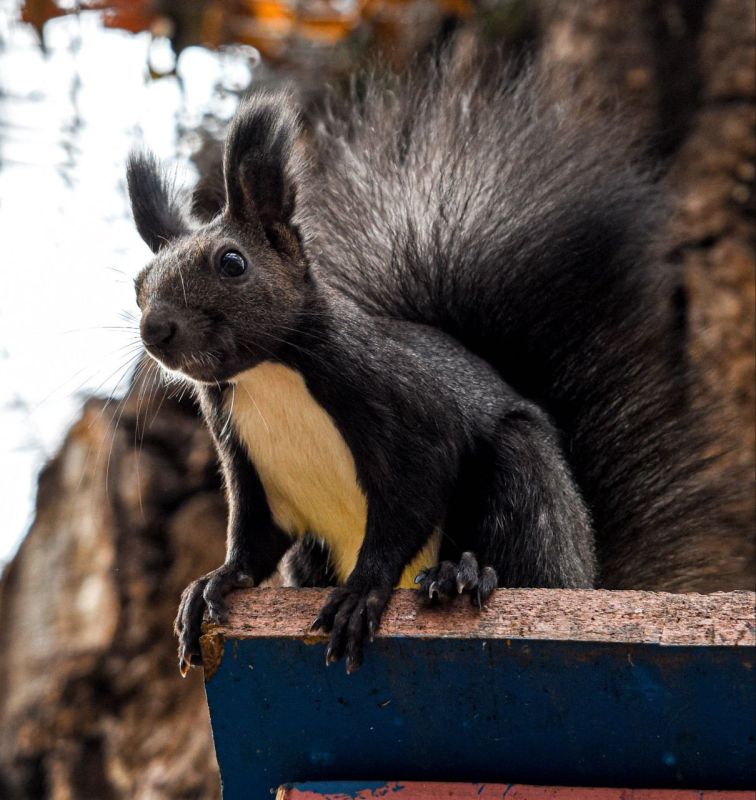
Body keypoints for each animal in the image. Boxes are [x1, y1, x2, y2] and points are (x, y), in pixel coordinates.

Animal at [127, 45, 748, 676]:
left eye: (232, 263)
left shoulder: (405, 409)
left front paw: (362, 591)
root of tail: (590, 571)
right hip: (314, 553)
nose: (156, 330)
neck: (270, 374)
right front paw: (215, 583)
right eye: (139, 284)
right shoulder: (248, 465)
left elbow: (407, 502)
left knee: (523, 563)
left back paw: (461, 574)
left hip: (526, 482)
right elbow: (253, 537)